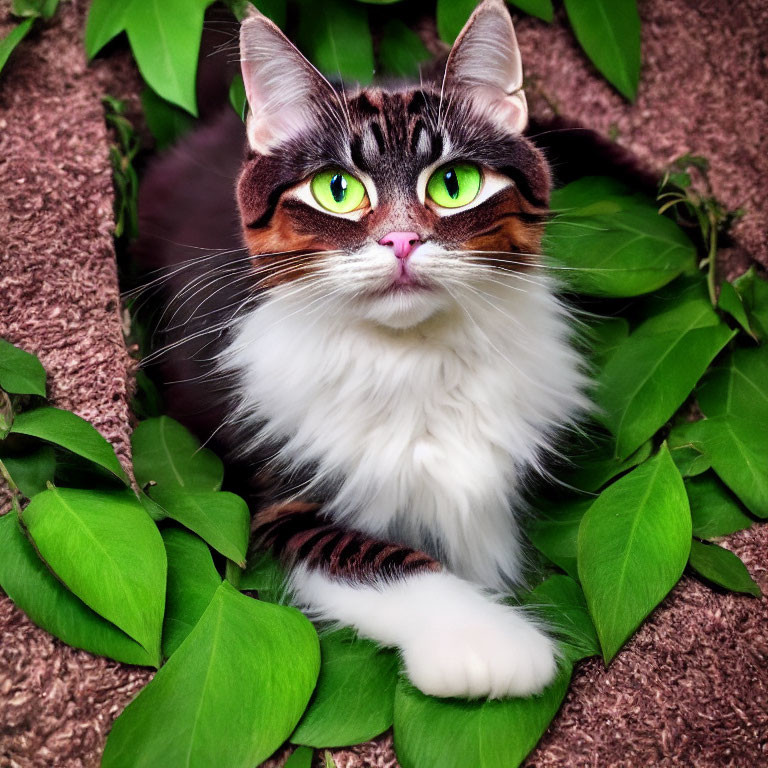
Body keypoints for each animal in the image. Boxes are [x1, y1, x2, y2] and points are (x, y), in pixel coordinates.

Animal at [135, 0, 588, 700]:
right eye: (338, 190)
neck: (412, 355)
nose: (401, 241)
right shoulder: (280, 500)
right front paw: (491, 645)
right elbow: (379, 558)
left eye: (454, 183)